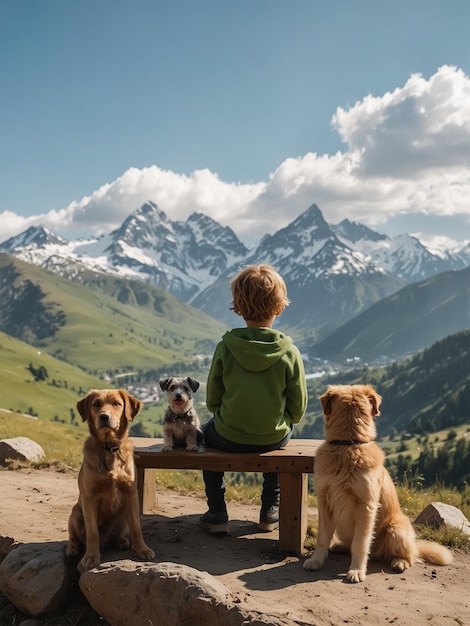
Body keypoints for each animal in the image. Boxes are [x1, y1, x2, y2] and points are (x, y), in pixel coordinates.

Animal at [66, 388, 155, 568]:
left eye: (116, 403)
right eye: (96, 404)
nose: (104, 417)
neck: (109, 449)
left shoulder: (131, 494)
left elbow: (136, 528)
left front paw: (143, 550)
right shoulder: (89, 497)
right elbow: (92, 533)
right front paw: (91, 556)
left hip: (122, 517)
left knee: (118, 534)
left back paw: (121, 540)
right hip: (76, 514)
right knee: (74, 536)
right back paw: (73, 548)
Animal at [302, 382, 454, 584]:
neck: (348, 445)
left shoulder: (366, 506)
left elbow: (360, 542)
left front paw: (357, 570)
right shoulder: (325, 501)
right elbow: (322, 537)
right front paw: (316, 561)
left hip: (396, 530)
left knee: (410, 556)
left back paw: (399, 562)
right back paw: (341, 547)